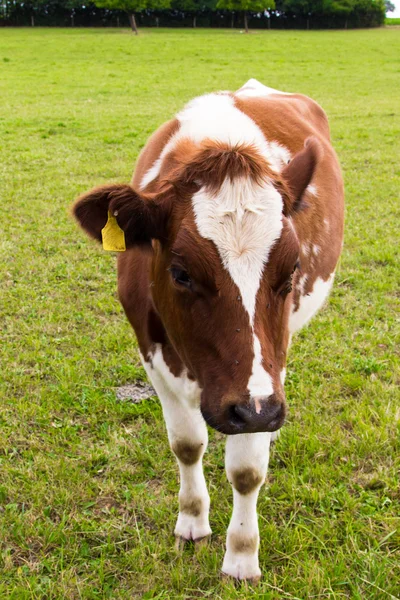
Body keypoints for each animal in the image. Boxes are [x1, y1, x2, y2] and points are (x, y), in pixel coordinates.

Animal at [73, 78, 346, 580]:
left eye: (292, 269)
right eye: (181, 273)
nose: (258, 412)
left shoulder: (261, 385)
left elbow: (247, 470)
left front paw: (241, 555)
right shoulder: (150, 351)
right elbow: (186, 444)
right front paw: (192, 521)